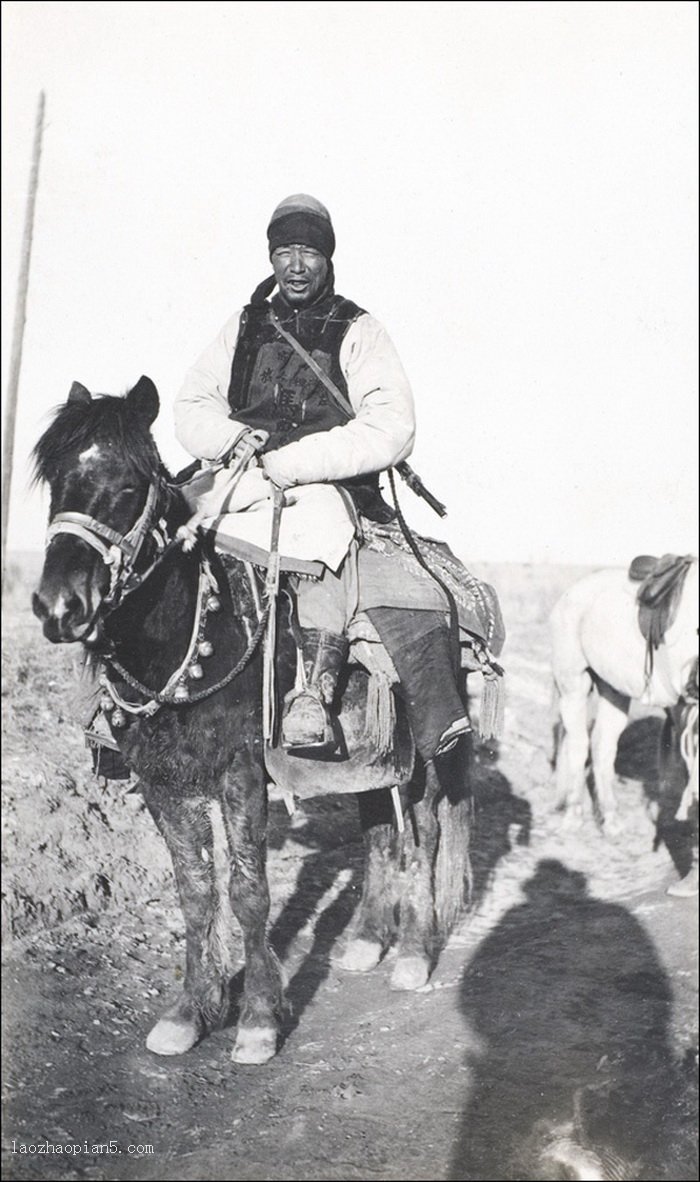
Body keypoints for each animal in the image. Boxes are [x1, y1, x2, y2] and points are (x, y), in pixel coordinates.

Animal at [31, 375, 470, 1063]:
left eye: (128, 487)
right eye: (56, 481)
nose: (59, 607)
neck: (186, 635)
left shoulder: (240, 771)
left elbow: (248, 892)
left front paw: (259, 1018)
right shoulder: (163, 778)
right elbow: (195, 892)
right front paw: (190, 1012)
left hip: (424, 754)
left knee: (421, 837)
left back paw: (413, 957)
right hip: (368, 758)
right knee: (378, 829)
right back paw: (366, 942)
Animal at [548, 555, 695, 860]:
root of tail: (574, 591)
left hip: (612, 690)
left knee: (602, 747)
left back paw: (611, 821)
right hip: (573, 685)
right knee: (579, 746)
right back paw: (573, 818)